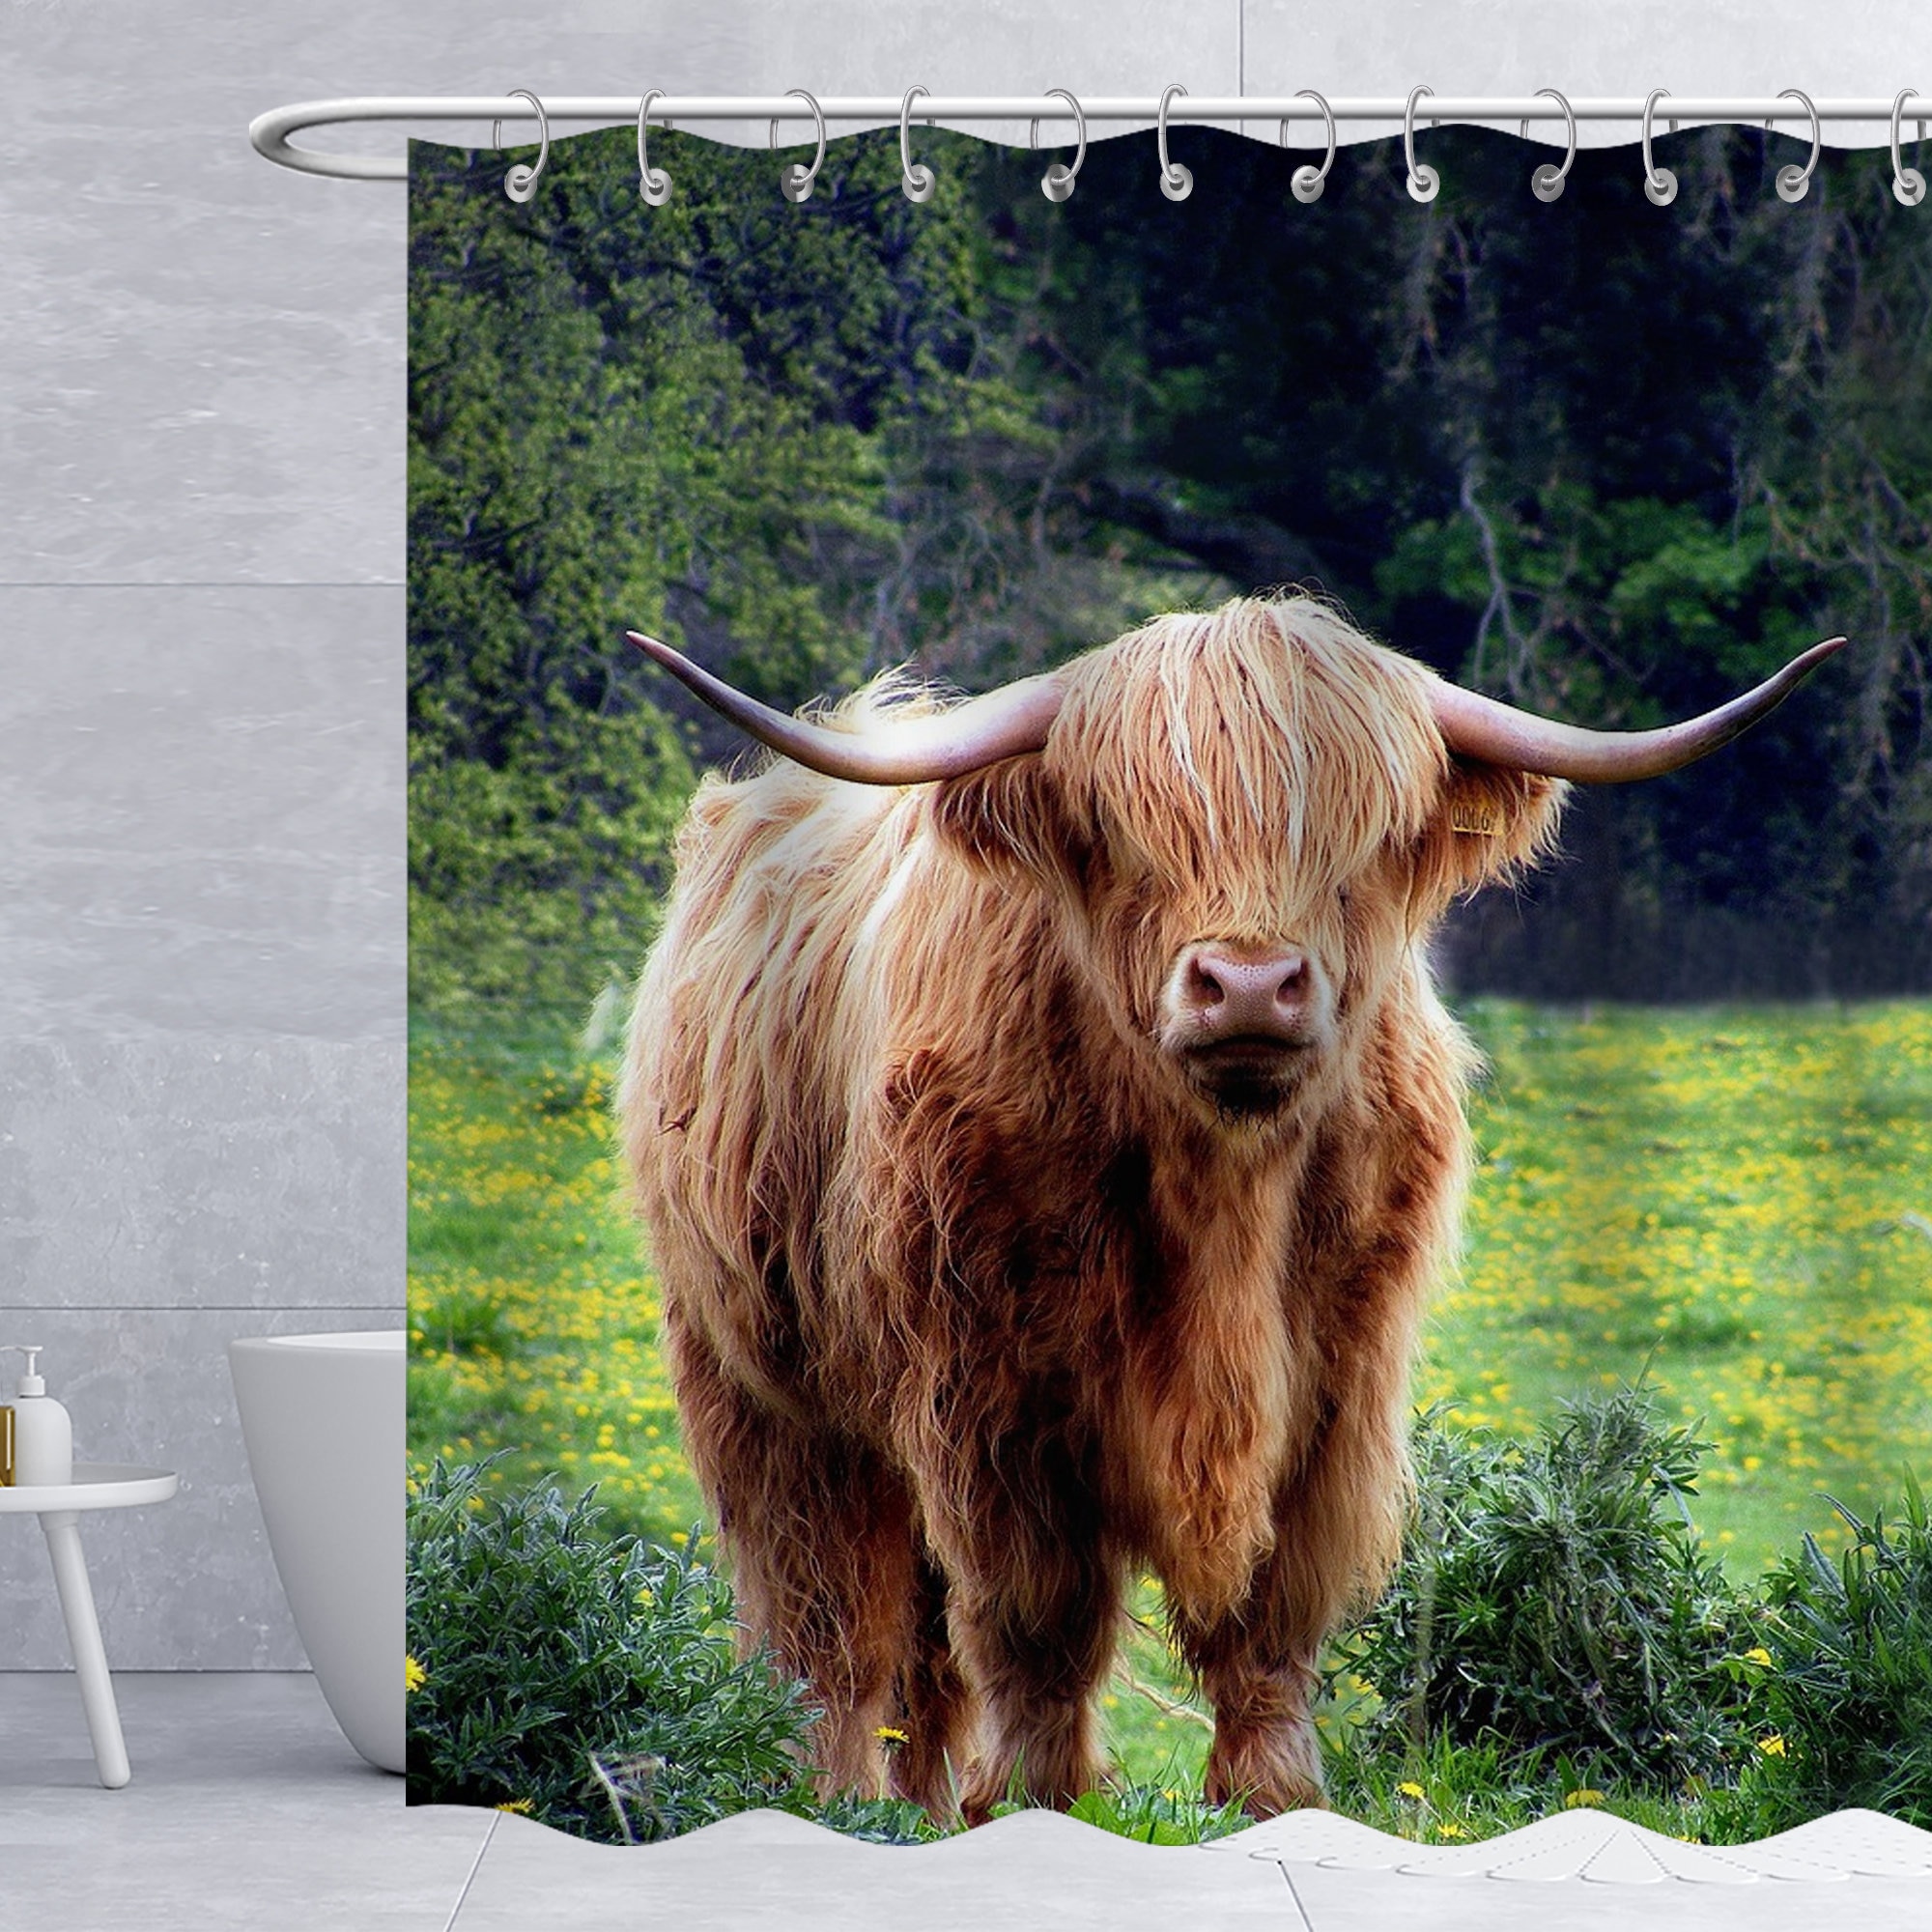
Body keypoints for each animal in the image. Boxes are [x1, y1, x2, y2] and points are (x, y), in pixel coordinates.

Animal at [617, 595, 1841, 1824]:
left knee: (913, 1645)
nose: (1248, 984)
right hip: (761, 1386)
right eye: (1123, 833)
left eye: (1357, 843)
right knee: (823, 1616)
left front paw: (1271, 1792)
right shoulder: (989, 1394)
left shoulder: (1334, 1384)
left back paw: (916, 1800)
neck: (1222, 1203)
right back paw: (831, 1793)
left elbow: (1271, 1608)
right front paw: (1034, 1798)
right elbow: (1034, 1614)